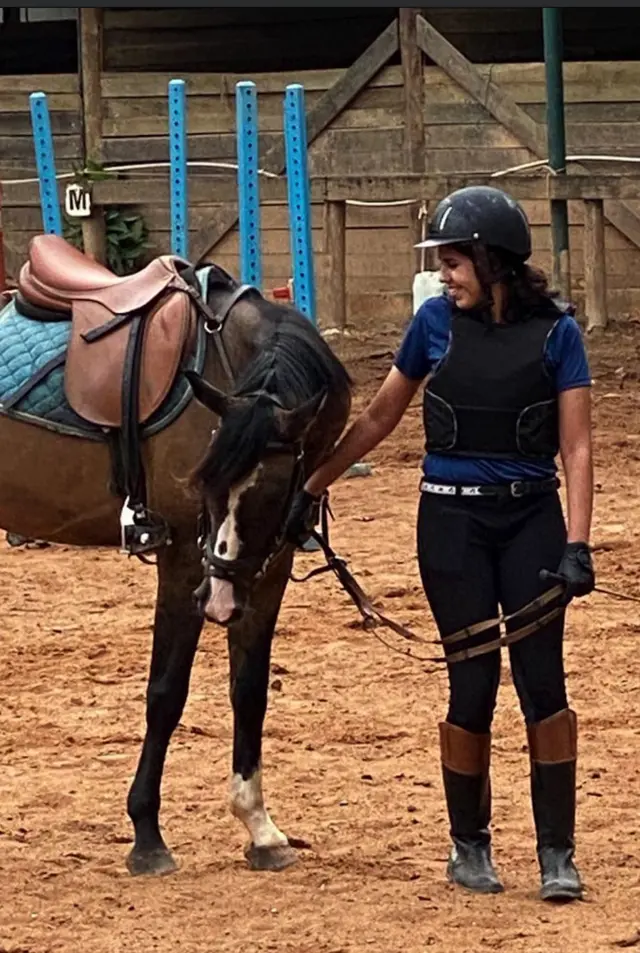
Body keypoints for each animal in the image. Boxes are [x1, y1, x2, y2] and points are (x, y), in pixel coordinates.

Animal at [0, 236, 352, 875]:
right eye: (203, 484)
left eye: (271, 492)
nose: (217, 601)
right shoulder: (185, 556)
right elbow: (166, 692)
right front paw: (147, 834)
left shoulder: (267, 569)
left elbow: (250, 688)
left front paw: (260, 828)